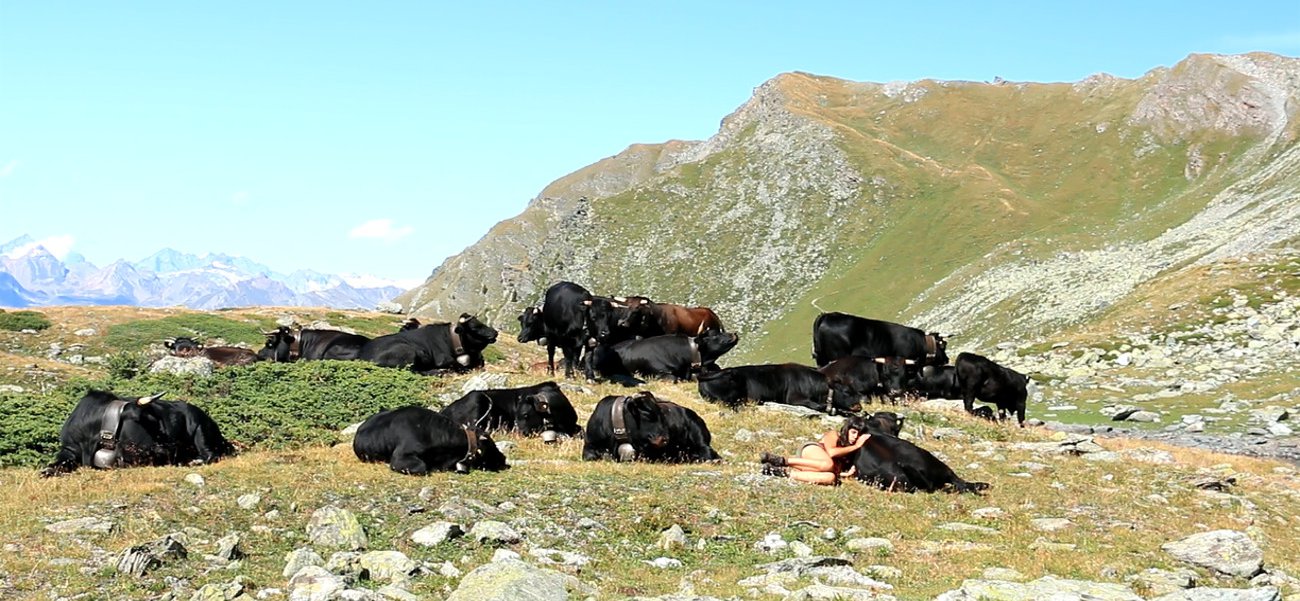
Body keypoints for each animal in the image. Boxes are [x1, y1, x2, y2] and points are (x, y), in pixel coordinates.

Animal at [41, 390, 233, 477]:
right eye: (150, 421)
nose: (171, 450)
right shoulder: (69, 448)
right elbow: (53, 467)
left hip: (201, 430)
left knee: (210, 455)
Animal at [582, 391, 718, 463]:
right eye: (647, 413)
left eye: (662, 414)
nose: (665, 439)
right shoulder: (589, 444)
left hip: (699, 434)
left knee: (707, 451)